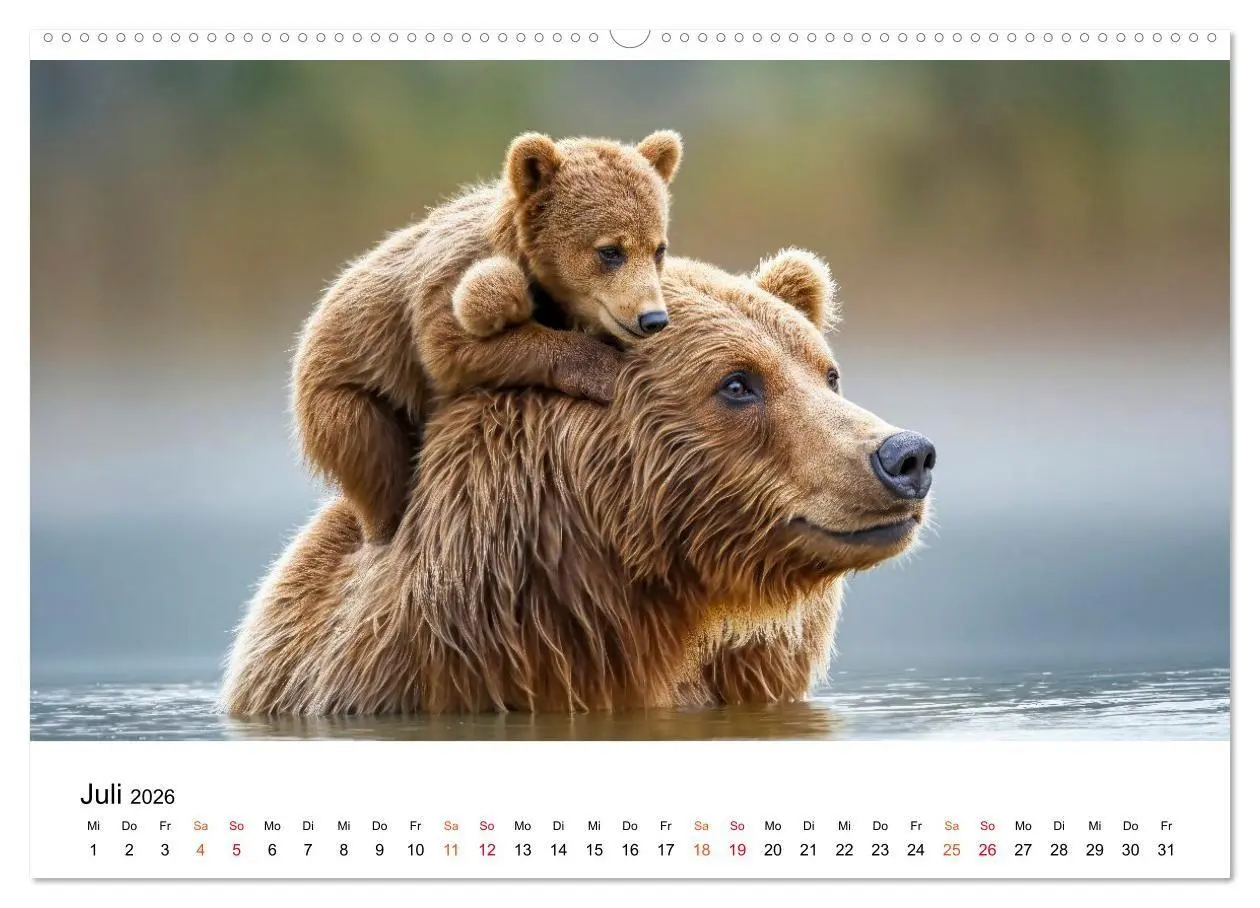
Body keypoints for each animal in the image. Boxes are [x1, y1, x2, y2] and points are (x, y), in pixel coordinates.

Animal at [293, 130, 683, 544]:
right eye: (610, 251)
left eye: (658, 248)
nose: (652, 318)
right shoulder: (450, 279)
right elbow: (451, 350)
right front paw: (602, 369)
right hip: (346, 397)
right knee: (374, 457)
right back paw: (383, 523)